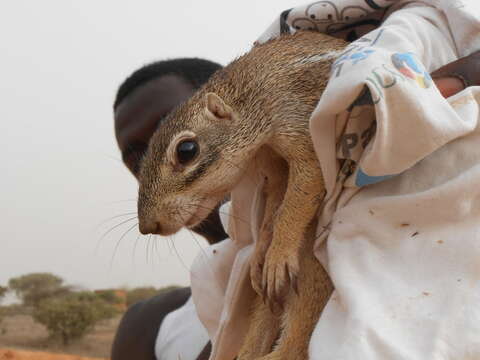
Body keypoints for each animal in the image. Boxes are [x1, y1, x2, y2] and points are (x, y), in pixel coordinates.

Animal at [138, 31, 344, 360]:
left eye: (186, 150)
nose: (148, 226)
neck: (249, 88)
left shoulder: (302, 124)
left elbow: (298, 197)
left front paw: (277, 255)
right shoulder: (270, 162)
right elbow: (274, 207)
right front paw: (261, 252)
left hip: (311, 275)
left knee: (294, 342)